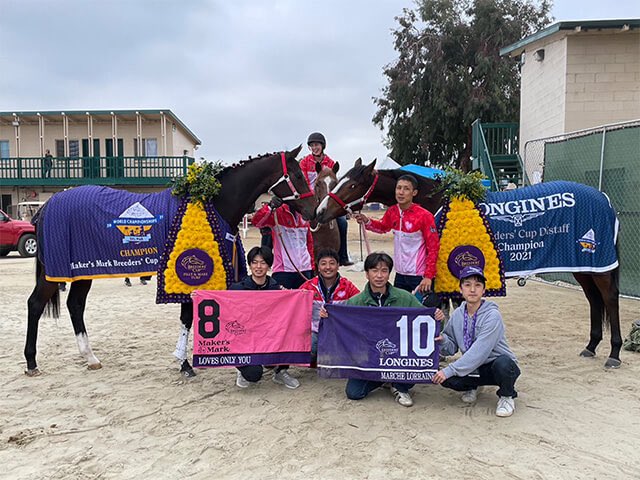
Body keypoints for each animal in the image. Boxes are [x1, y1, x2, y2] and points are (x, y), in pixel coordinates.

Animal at [25, 146, 317, 377]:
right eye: (298, 175)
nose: (313, 210)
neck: (211, 200)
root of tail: (47, 205)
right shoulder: (190, 275)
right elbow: (187, 318)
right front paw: (184, 362)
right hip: (56, 273)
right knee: (36, 304)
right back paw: (31, 362)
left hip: (82, 273)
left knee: (75, 305)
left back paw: (90, 357)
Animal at [316, 159, 623, 369]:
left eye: (351, 184)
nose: (319, 212)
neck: (435, 200)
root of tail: (603, 199)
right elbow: (447, 307)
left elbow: (444, 305)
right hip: (584, 268)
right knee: (594, 300)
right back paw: (591, 345)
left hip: (600, 267)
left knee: (609, 298)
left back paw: (614, 353)